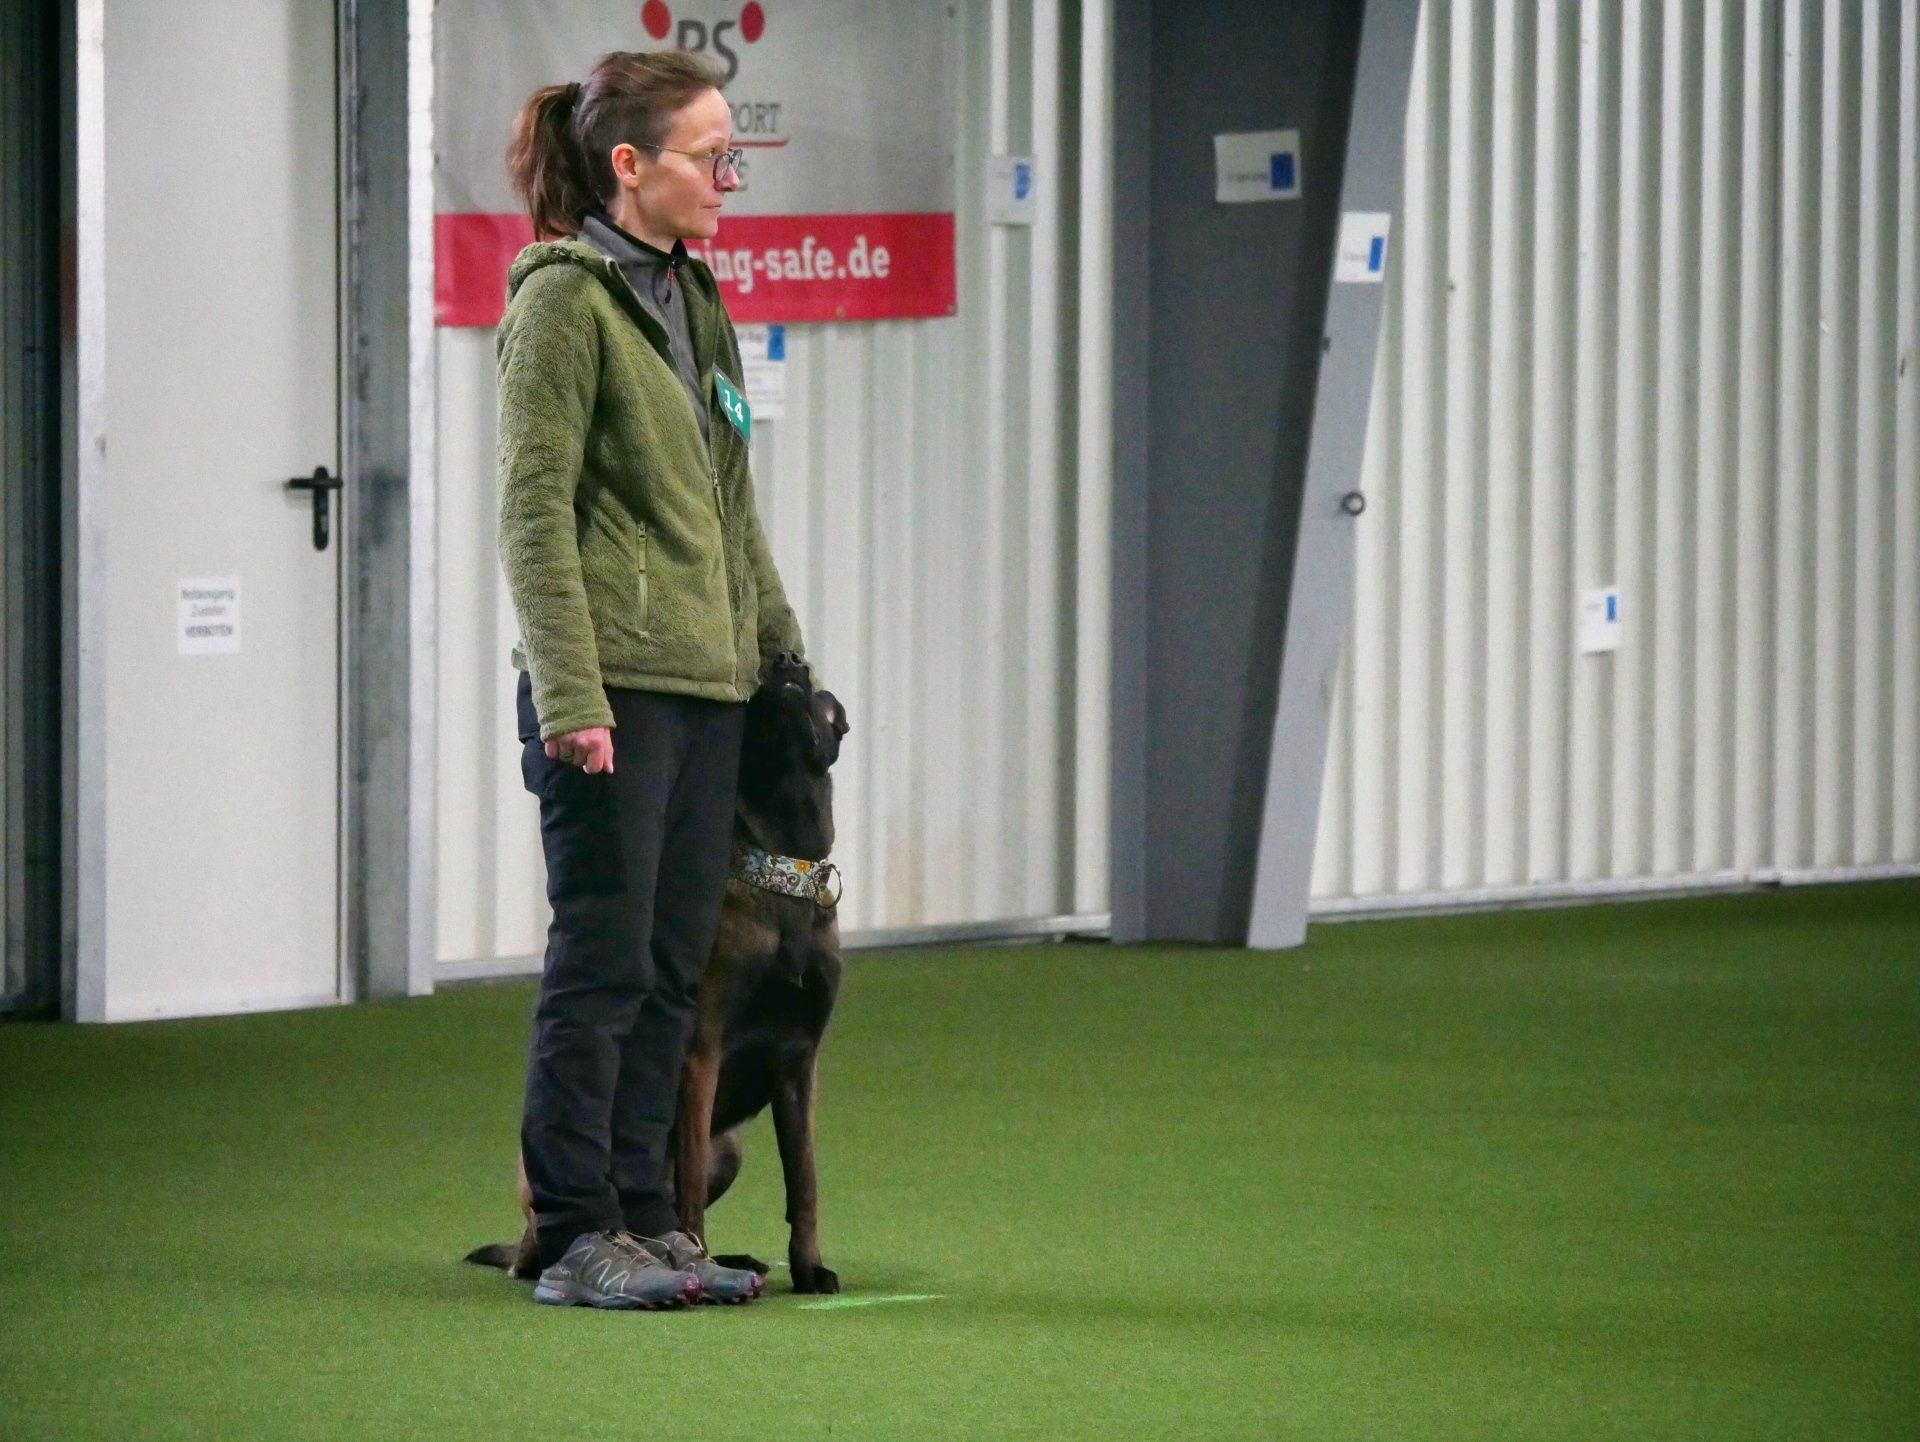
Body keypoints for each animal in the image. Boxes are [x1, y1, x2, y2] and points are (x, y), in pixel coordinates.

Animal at [467, 653, 849, 1294]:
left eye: (816, 695)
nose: (787, 661)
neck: (780, 870)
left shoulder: (799, 1065)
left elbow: (806, 1182)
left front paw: (808, 1268)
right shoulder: (701, 1056)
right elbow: (688, 1190)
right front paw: (699, 1258)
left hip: (730, 1148)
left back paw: (735, 1260)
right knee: (534, 1249)